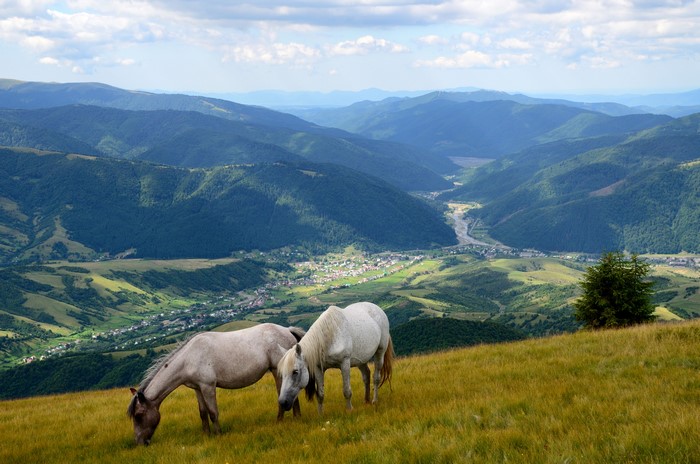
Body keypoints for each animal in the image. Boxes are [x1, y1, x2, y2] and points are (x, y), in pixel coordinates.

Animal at [127, 323, 305, 445]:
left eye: (138, 416)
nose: (140, 443)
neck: (189, 358)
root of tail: (287, 330)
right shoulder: (197, 388)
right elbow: (203, 413)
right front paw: (207, 436)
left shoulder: (208, 387)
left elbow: (213, 412)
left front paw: (218, 435)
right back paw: (297, 417)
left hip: (277, 370)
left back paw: (280, 421)